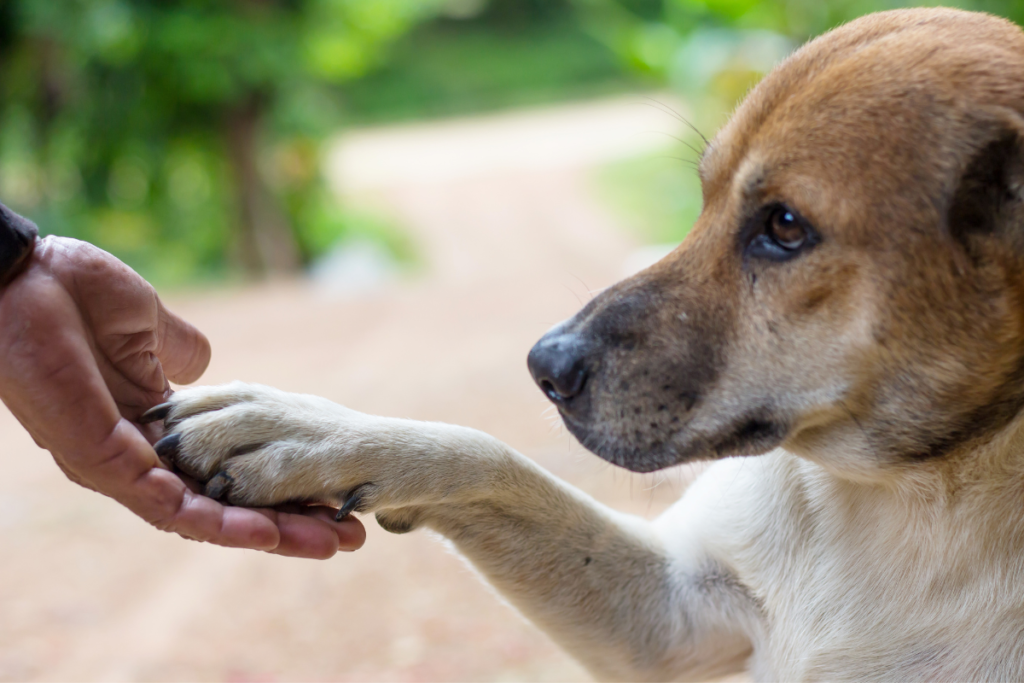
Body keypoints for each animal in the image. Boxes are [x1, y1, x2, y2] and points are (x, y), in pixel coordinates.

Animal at [146, 7, 1024, 679]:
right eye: (703, 197)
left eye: (784, 226)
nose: (545, 366)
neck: (911, 490)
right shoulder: (672, 612)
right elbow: (488, 458)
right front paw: (310, 432)